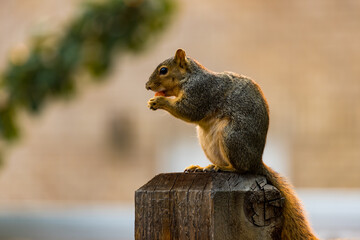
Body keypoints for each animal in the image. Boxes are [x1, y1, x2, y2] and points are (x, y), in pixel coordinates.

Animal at [146, 49, 318, 240]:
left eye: (163, 70)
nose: (147, 86)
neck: (190, 77)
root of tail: (256, 161)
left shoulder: (200, 92)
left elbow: (189, 110)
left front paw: (159, 102)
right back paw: (203, 167)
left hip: (231, 137)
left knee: (242, 169)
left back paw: (223, 168)